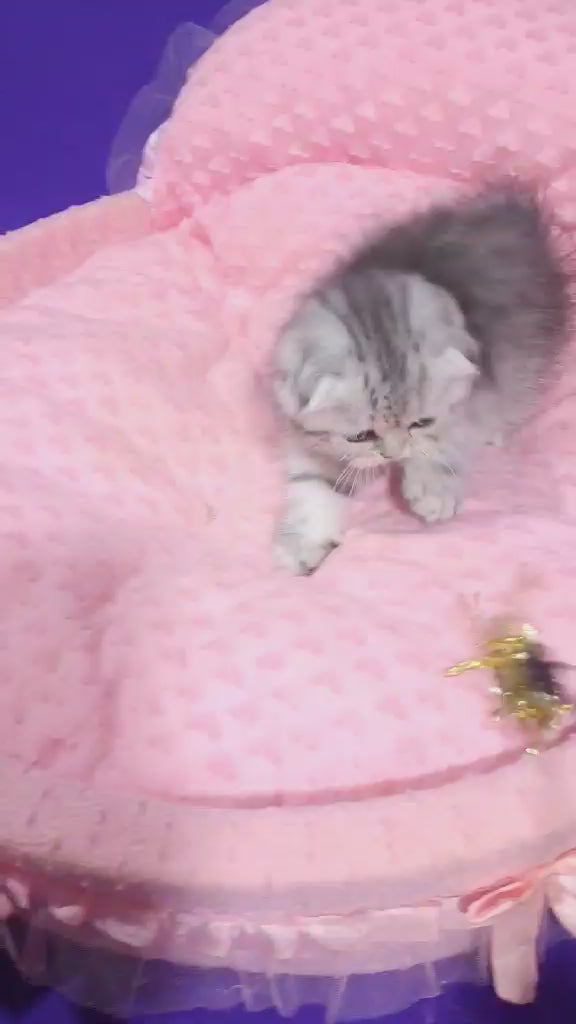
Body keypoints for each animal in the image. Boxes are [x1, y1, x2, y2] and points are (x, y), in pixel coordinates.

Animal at [272, 180, 570, 575]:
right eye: (360, 436)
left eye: (421, 422)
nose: (392, 455)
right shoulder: (309, 436)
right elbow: (313, 483)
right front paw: (302, 540)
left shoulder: (476, 392)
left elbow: (449, 437)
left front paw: (433, 485)